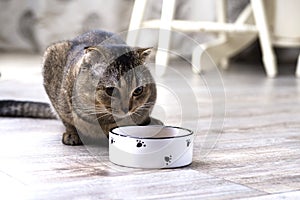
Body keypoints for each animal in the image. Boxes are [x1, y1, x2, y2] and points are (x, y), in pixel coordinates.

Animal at [0, 29, 163, 145]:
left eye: (138, 90)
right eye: (110, 90)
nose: (126, 108)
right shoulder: (60, 99)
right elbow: (67, 120)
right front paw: (72, 134)